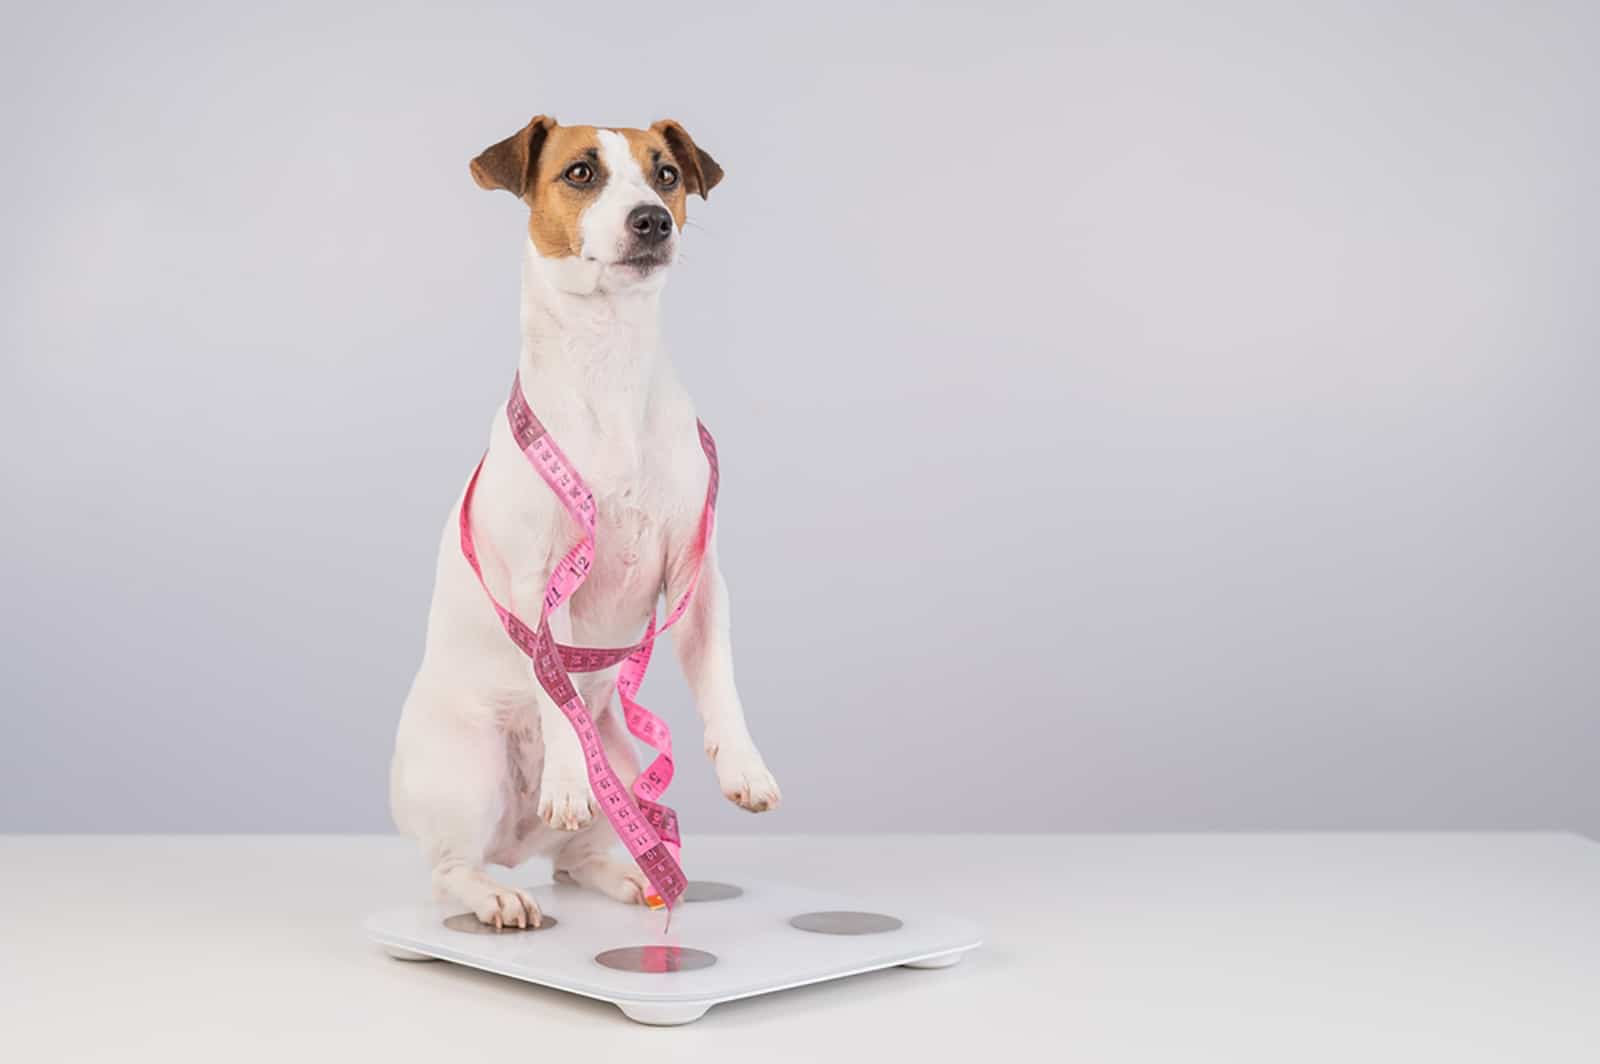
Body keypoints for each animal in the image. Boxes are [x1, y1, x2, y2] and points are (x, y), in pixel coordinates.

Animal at [393, 116, 780, 928]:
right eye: (580, 172)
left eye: (666, 174)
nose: (653, 220)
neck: (611, 360)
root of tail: (517, 842)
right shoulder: (539, 587)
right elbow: (555, 688)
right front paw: (569, 780)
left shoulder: (697, 576)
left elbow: (720, 676)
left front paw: (744, 766)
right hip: (467, 772)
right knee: (451, 870)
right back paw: (499, 892)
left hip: (627, 769)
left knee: (577, 859)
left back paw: (635, 875)